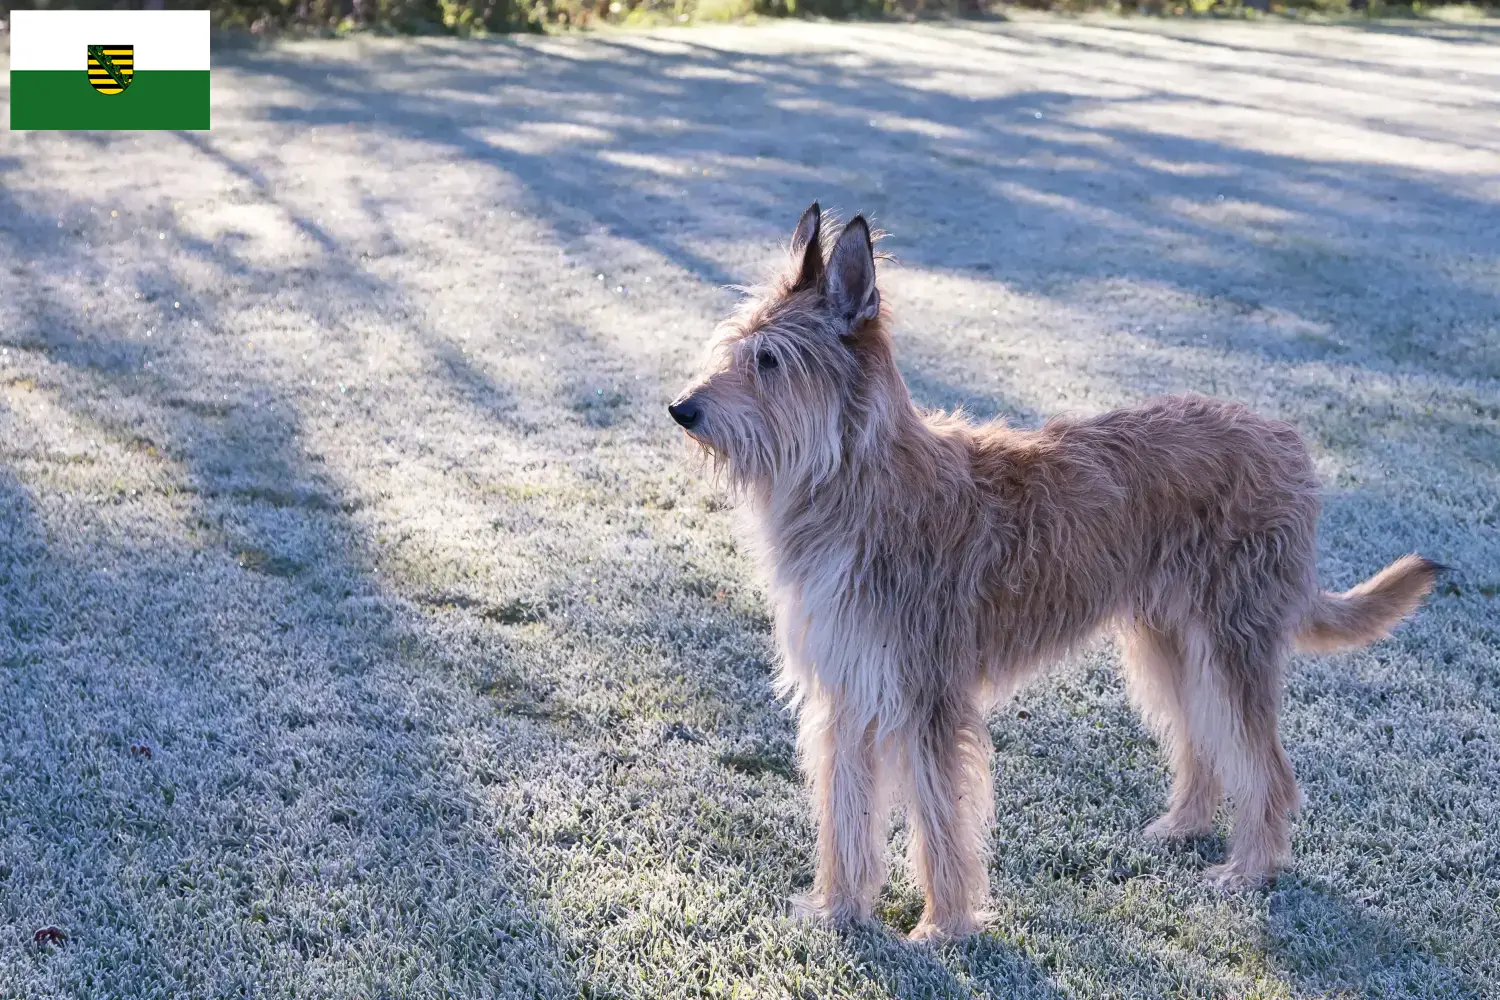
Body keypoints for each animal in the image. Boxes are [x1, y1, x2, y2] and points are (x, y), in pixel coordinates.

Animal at [669, 205, 1440, 947]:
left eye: (771, 360)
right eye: (738, 351)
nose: (682, 409)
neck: (858, 482)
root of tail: (1286, 440)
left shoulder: (926, 698)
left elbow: (940, 822)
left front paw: (942, 928)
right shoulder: (849, 693)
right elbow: (845, 813)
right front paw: (838, 911)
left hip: (1229, 646)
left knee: (1265, 767)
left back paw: (1247, 871)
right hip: (1169, 644)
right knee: (1204, 744)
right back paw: (1182, 828)